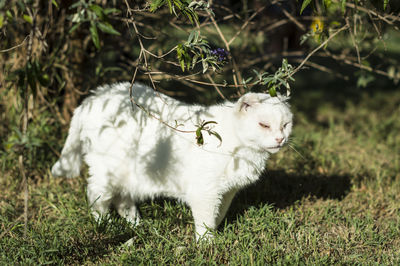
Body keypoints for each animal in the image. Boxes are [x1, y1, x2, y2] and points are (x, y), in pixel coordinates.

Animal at [51, 82, 292, 240]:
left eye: (285, 124)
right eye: (264, 125)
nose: (280, 138)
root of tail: (93, 97)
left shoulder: (226, 192)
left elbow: (217, 215)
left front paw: (214, 235)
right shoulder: (204, 192)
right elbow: (205, 220)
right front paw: (207, 245)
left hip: (129, 174)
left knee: (122, 199)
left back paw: (136, 224)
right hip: (106, 172)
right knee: (97, 198)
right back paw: (106, 226)